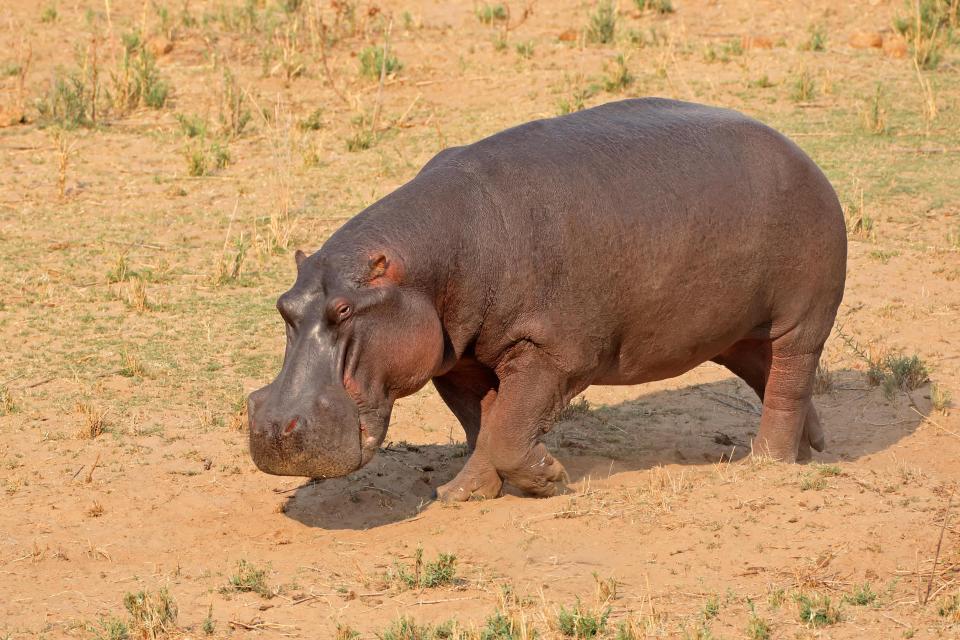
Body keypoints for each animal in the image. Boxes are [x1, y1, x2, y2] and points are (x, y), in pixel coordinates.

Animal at [248, 97, 848, 502]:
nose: (273, 427)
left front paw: (551, 479)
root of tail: (801, 153)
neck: (430, 258)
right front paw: (461, 494)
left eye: (344, 310)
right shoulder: (459, 362)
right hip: (733, 332)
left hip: (802, 319)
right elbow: (486, 425)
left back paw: (766, 464)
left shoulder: (552, 354)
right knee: (769, 376)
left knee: (790, 378)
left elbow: (509, 431)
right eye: (283, 307)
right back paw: (809, 448)